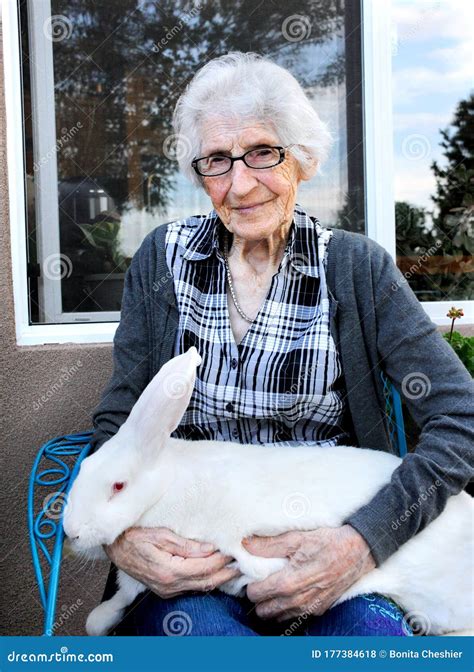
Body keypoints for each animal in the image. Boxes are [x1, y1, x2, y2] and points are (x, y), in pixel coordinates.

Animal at [64, 346, 474, 636]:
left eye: (118, 486)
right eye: (85, 467)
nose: (72, 532)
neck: (165, 488)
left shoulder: (228, 533)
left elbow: (246, 557)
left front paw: (267, 571)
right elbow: (118, 600)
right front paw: (100, 619)